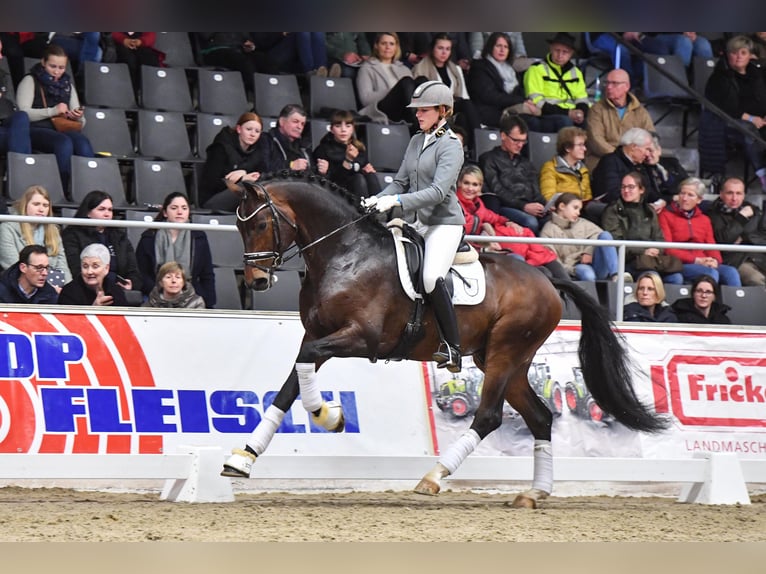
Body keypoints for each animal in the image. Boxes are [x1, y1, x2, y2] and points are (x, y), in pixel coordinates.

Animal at [220, 172, 664, 508]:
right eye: (239, 227)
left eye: (259, 224)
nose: (257, 281)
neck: (345, 254)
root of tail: (547, 279)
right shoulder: (317, 336)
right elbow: (289, 386)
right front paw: (243, 459)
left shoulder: (361, 338)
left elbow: (304, 373)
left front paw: (330, 416)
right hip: (507, 361)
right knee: (540, 417)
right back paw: (534, 494)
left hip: (505, 354)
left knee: (488, 416)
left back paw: (433, 477)